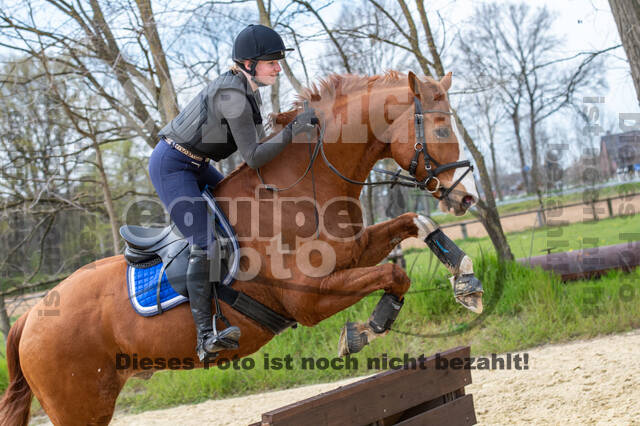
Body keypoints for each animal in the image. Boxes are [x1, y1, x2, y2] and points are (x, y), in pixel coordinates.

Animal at [0, 70, 478, 422]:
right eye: (440, 128)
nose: (466, 197)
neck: (299, 187)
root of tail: (30, 316)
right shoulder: (308, 299)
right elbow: (394, 272)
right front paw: (365, 330)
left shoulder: (353, 252)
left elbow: (413, 225)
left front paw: (465, 281)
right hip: (80, 406)